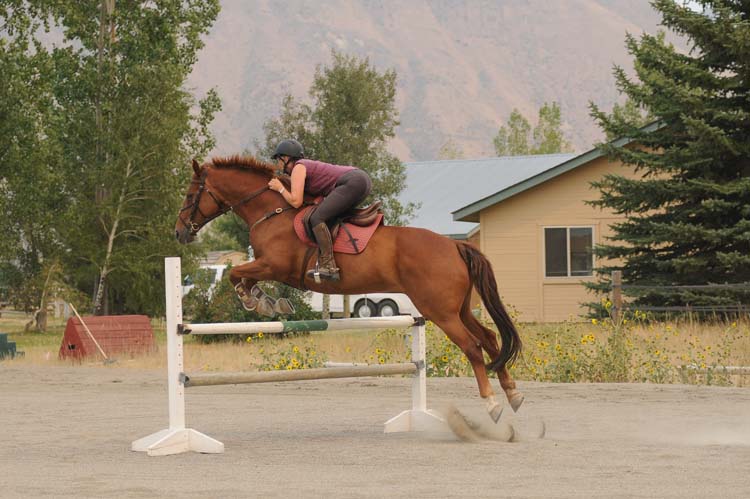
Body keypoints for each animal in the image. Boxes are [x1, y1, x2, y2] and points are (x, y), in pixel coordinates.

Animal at [177, 156, 528, 422]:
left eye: (191, 195)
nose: (180, 233)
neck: (272, 211)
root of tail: (455, 245)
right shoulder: (268, 267)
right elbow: (242, 277)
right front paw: (268, 303)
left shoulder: (274, 265)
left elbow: (236, 274)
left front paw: (256, 302)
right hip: (459, 308)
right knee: (489, 338)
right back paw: (513, 394)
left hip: (441, 312)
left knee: (472, 347)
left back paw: (492, 404)